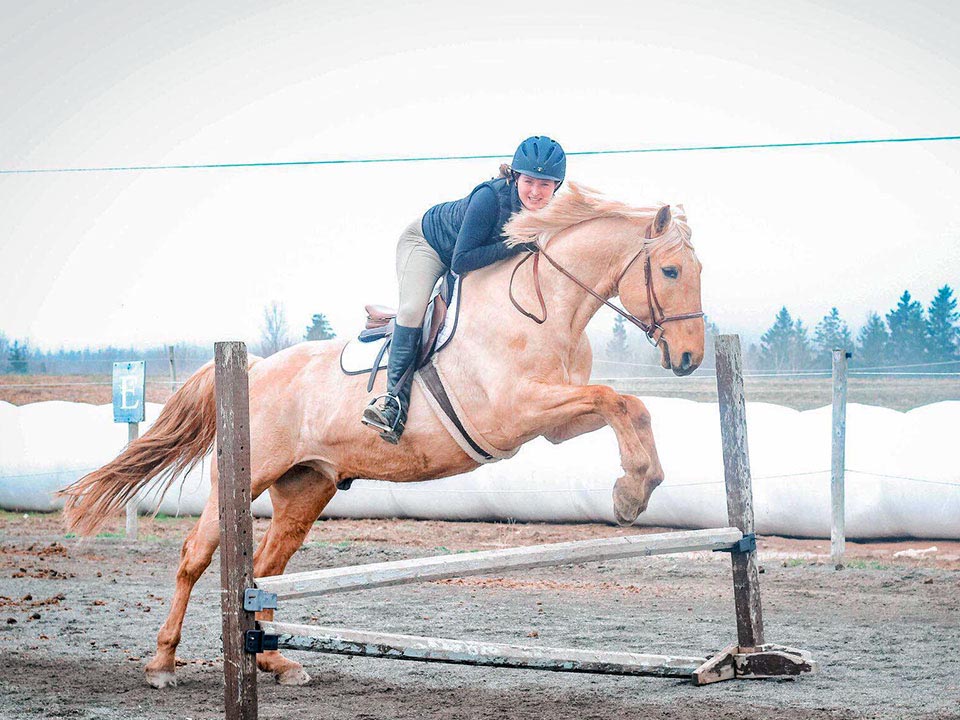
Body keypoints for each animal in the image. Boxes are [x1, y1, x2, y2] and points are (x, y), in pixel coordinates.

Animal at [60, 180, 704, 688]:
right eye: (671, 271)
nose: (691, 358)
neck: (545, 308)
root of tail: (253, 368)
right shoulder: (515, 410)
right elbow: (618, 399)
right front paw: (631, 492)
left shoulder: (555, 422)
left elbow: (629, 406)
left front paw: (635, 489)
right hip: (244, 477)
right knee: (196, 555)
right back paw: (162, 663)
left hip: (306, 485)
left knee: (267, 568)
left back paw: (276, 663)